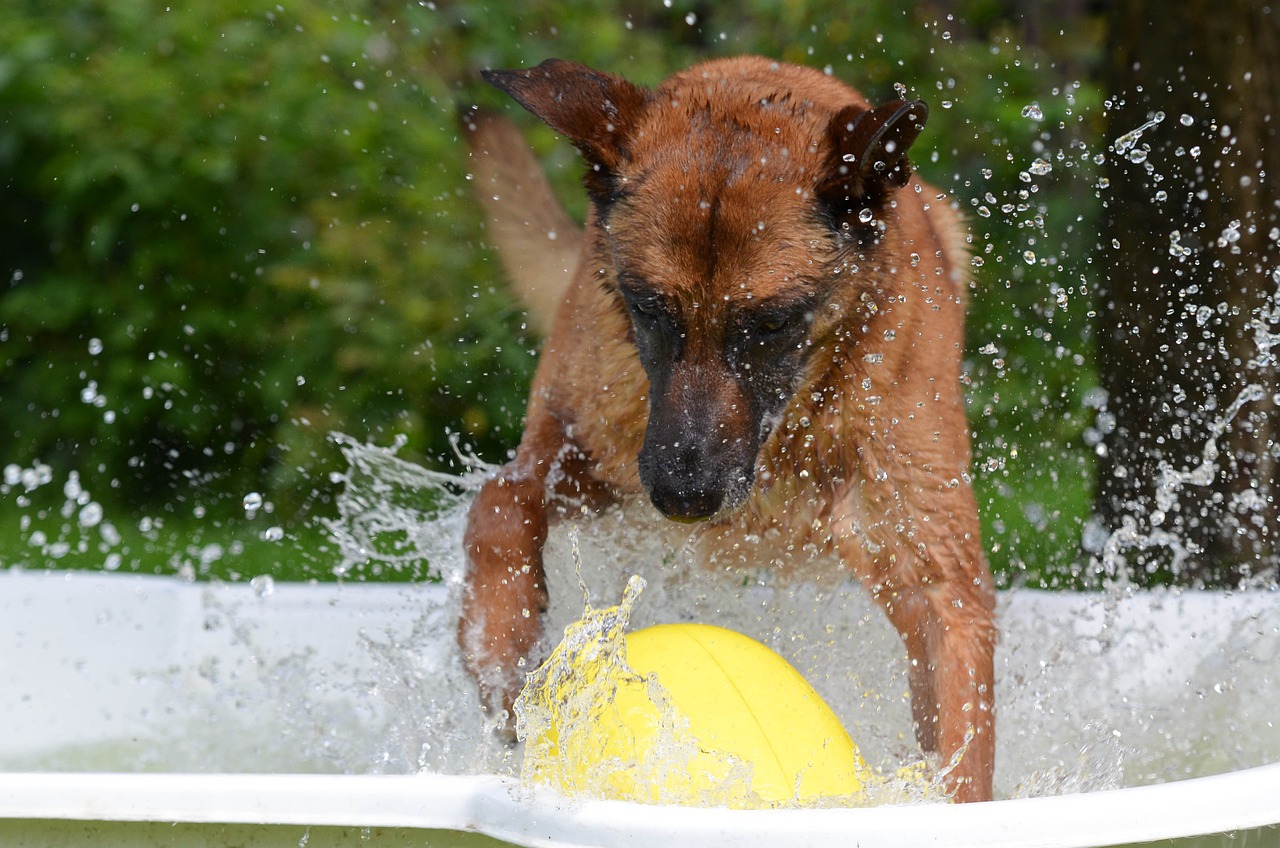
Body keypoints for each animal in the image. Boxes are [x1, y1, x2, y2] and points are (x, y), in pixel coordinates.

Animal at [460, 54, 998, 804]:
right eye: (648, 308)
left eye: (770, 324)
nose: (685, 498)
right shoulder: (587, 451)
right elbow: (501, 502)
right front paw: (501, 648)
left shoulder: (938, 580)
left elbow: (960, 732)